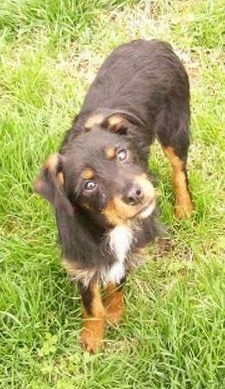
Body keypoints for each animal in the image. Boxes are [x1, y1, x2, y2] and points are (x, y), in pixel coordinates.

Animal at [35, 38, 193, 352]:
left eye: (121, 154)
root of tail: (152, 41)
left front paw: (116, 313)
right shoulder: (81, 260)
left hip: (176, 126)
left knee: (178, 168)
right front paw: (93, 338)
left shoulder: (130, 250)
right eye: (89, 185)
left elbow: (117, 282)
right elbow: (91, 304)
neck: (111, 225)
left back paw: (185, 208)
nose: (136, 193)